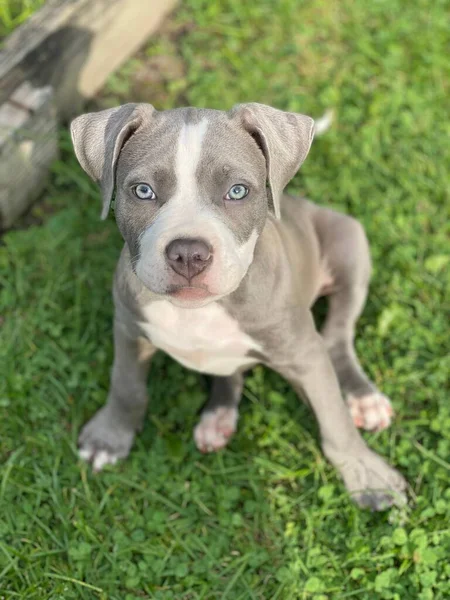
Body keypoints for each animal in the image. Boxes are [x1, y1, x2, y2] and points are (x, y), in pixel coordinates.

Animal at [70, 103, 408, 510]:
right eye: (143, 191)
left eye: (237, 191)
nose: (188, 254)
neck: (200, 311)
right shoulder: (128, 327)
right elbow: (125, 383)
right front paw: (110, 436)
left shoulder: (304, 353)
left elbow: (333, 417)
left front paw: (367, 474)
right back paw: (218, 417)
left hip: (349, 244)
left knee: (337, 336)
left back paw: (364, 399)